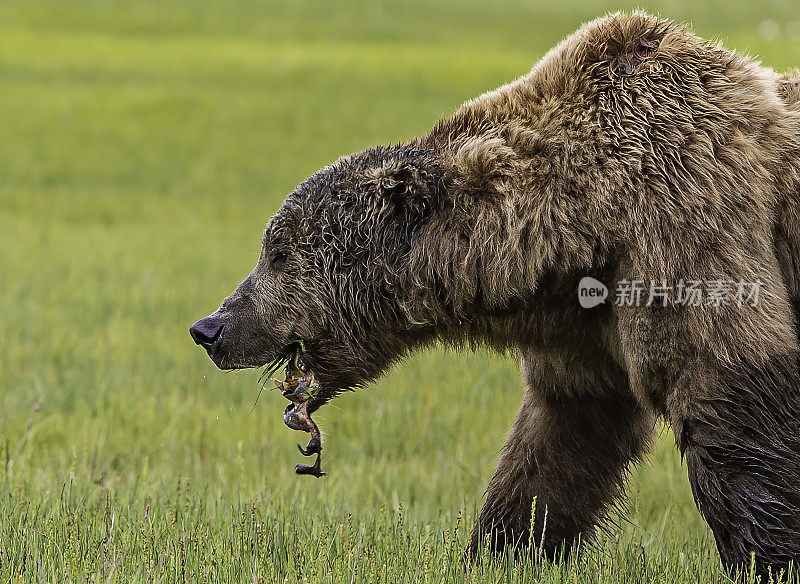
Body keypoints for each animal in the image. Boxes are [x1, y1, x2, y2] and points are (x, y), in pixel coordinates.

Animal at [191, 11, 800, 576]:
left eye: (277, 252)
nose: (210, 328)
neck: (578, 227)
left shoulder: (685, 225)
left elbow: (728, 398)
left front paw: (767, 558)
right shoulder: (580, 329)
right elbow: (560, 441)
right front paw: (502, 548)